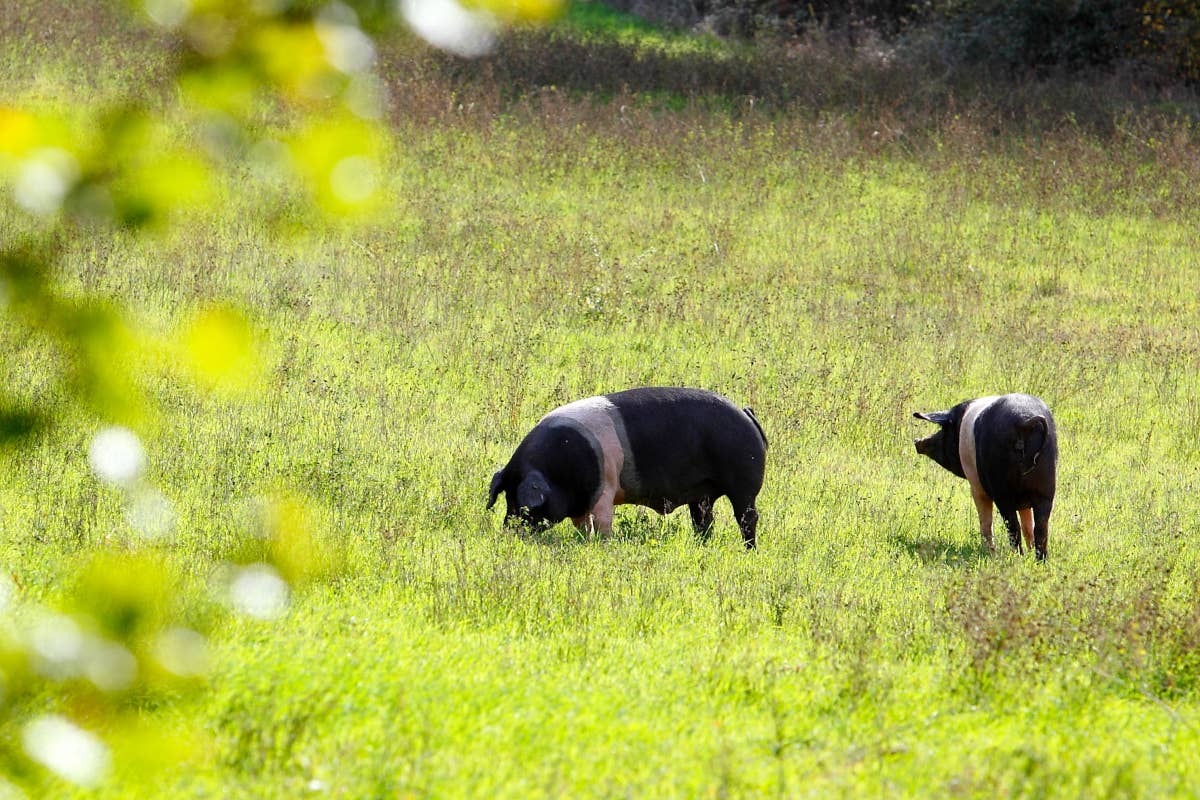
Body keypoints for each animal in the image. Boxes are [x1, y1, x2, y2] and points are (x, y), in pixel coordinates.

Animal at [487, 388, 768, 551]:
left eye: (522, 505)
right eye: (507, 498)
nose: (508, 530)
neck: (558, 471)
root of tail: (746, 414)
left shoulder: (605, 491)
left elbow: (602, 524)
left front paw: (603, 546)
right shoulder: (581, 503)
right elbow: (583, 527)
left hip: (745, 482)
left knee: (747, 517)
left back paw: (750, 550)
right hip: (701, 496)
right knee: (703, 521)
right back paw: (701, 546)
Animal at [912, 395, 1056, 561]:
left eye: (944, 429)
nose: (916, 442)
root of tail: (1024, 422)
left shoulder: (976, 485)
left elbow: (985, 520)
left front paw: (989, 552)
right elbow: (1027, 524)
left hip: (1002, 489)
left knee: (1012, 525)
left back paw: (1015, 557)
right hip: (1046, 488)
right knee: (1040, 527)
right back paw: (1039, 560)